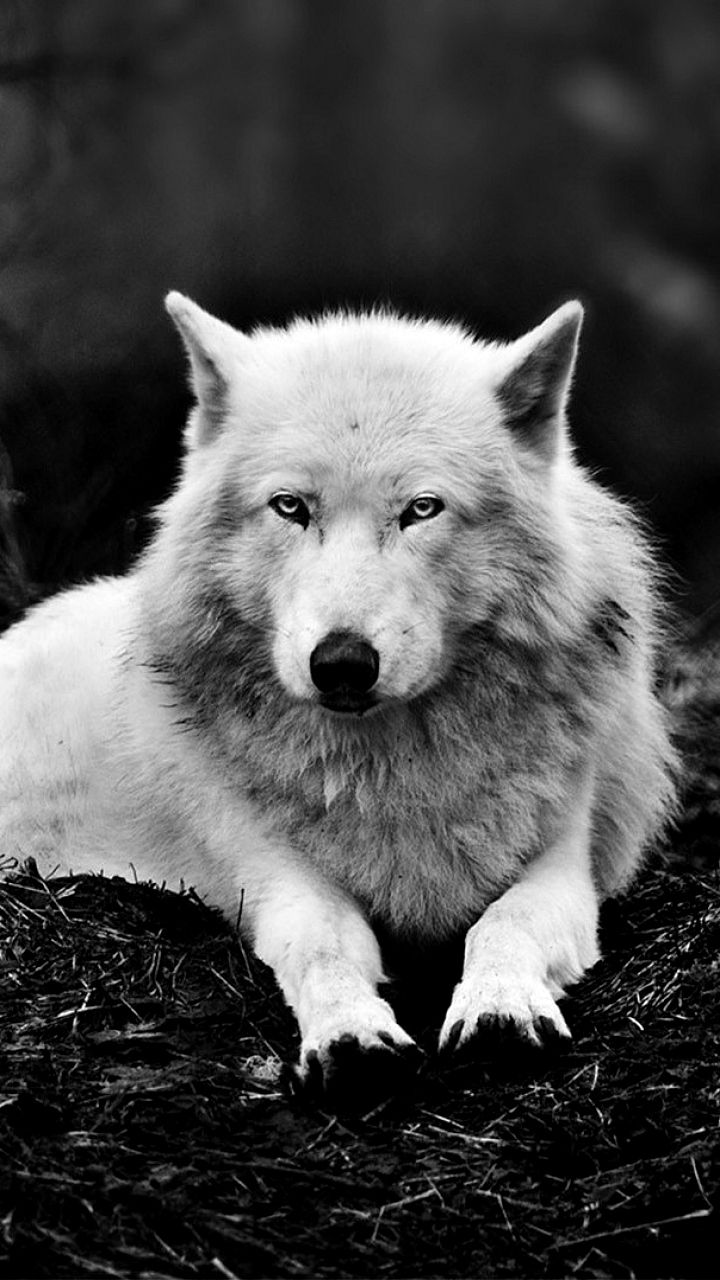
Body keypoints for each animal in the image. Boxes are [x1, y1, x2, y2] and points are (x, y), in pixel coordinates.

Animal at [0, 294, 677, 1098]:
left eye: (422, 509)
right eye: (290, 506)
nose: (343, 664)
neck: (393, 769)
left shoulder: (564, 865)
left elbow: (503, 924)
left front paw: (499, 1009)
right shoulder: (275, 876)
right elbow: (321, 944)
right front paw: (351, 1037)